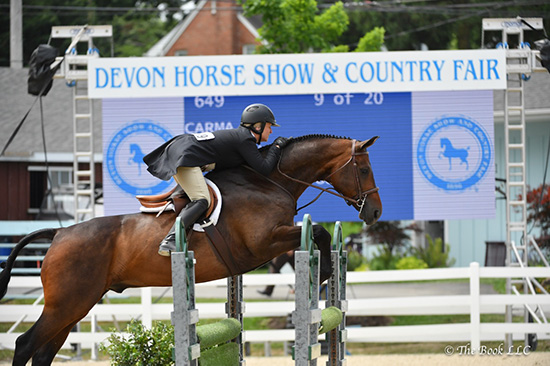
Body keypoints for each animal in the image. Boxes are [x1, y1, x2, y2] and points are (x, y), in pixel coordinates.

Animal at [0, 135, 382, 366]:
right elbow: (316, 231)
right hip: (67, 303)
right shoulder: (264, 243)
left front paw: (325, 274)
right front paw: (325, 272)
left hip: (76, 305)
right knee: (26, 344)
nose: (375, 213)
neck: (268, 180)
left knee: (44, 350)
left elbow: (316, 234)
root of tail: (60, 233)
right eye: (364, 168)